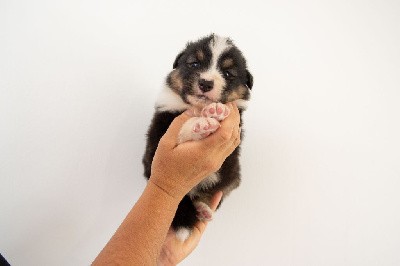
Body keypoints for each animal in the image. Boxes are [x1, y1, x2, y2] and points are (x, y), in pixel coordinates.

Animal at [142, 33, 252, 241]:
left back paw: (203, 209)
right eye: (194, 63)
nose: (206, 83)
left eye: (228, 74)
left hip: (232, 177)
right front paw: (201, 124)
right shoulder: (161, 128)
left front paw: (216, 110)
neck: (198, 108)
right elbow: (181, 130)